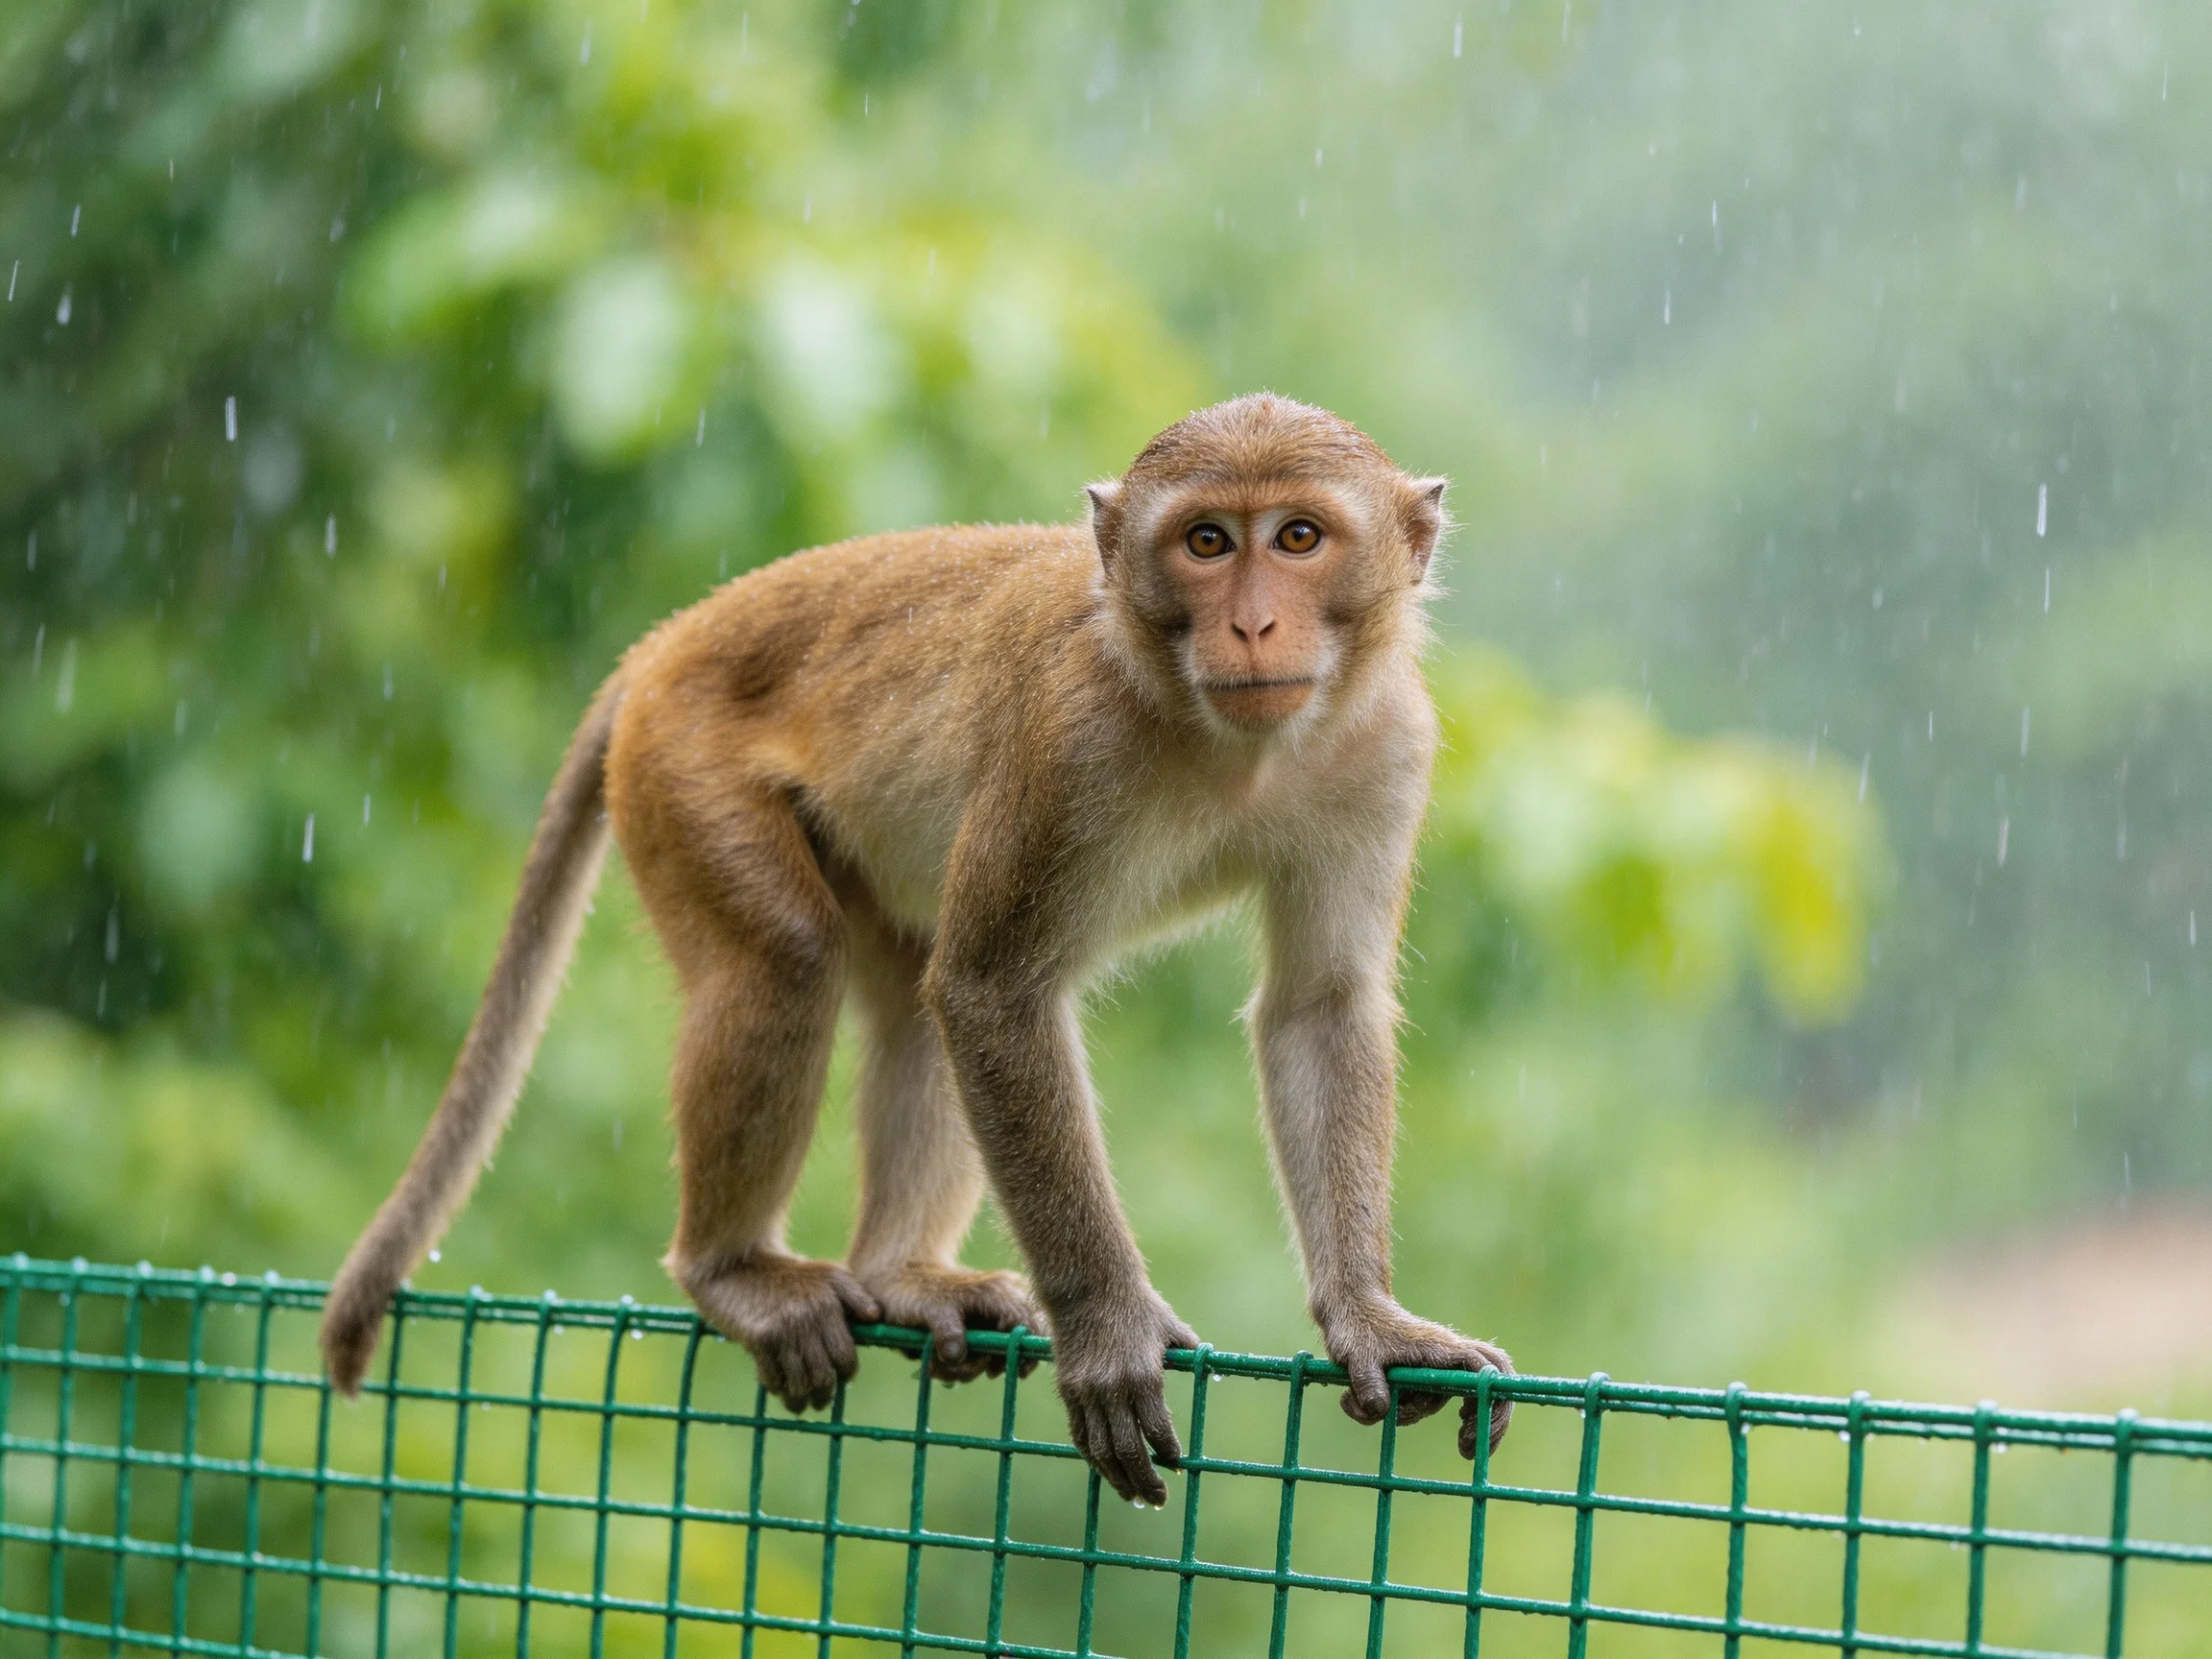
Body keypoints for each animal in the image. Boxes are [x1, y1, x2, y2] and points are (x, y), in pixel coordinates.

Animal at [320, 393, 1514, 1505]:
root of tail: (668, 639)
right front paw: (1108, 1332)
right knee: (789, 958)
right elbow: (992, 993)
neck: (1234, 747)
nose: (1257, 627)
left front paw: (1369, 1317)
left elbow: (1318, 1006)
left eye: (1300, 538)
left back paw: (900, 1275)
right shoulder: (1068, 744)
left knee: (910, 995)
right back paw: (734, 1269)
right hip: (678, 770)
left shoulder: (1388, 746)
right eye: (1208, 542)